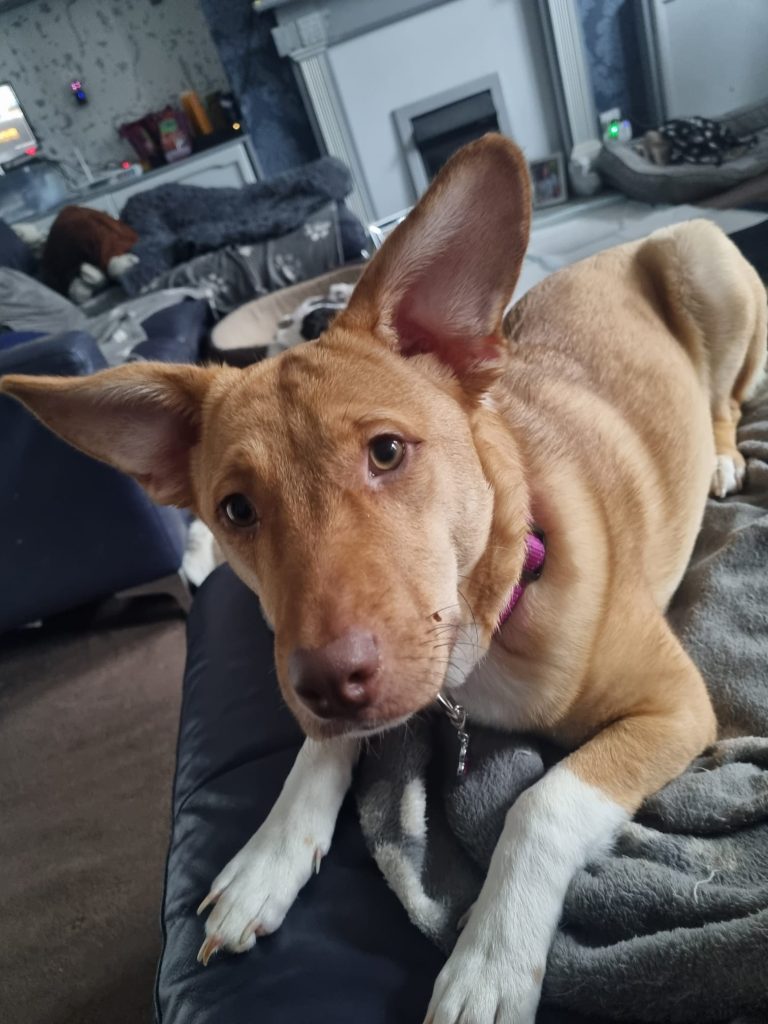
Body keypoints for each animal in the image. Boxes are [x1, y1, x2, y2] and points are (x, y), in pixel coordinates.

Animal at [3, 138, 765, 1024]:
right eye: (235, 509)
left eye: (388, 452)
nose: (330, 684)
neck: (484, 633)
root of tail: (618, 245)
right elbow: (319, 748)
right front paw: (270, 853)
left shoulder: (676, 705)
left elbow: (541, 803)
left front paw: (490, 960)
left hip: (701, 262)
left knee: (726, 396)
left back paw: (722, 455)